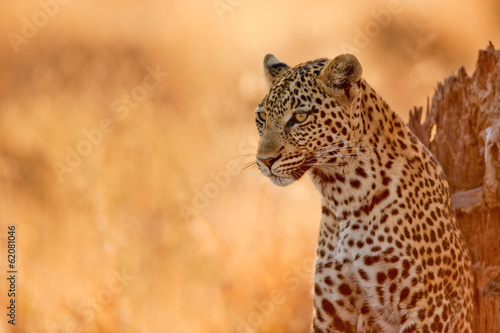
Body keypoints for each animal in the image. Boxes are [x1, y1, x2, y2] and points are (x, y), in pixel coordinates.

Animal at [254, 53, 472, 330]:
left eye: (300, 117)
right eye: (262, 116)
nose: (264, 160)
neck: (342, 194)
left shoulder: (428, 308)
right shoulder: (331, 311)